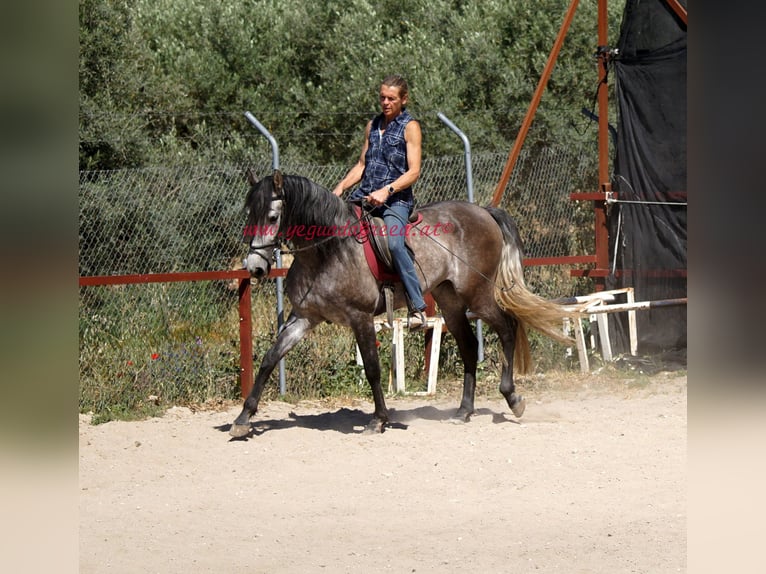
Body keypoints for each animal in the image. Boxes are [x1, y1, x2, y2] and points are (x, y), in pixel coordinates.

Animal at [231, 171, 572, 440]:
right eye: (249, 216)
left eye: (272, 217)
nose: (255, 267)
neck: (328, 251)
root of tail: (484, 212)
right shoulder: (304, 317)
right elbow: (270, 359)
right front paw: (243, 419)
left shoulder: (360, 317)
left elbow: (372, 368)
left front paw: (379, 420)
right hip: (450, 301)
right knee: (469, 346)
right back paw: (464, 410)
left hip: (479, 295)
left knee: (507, 328)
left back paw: (512, 397)